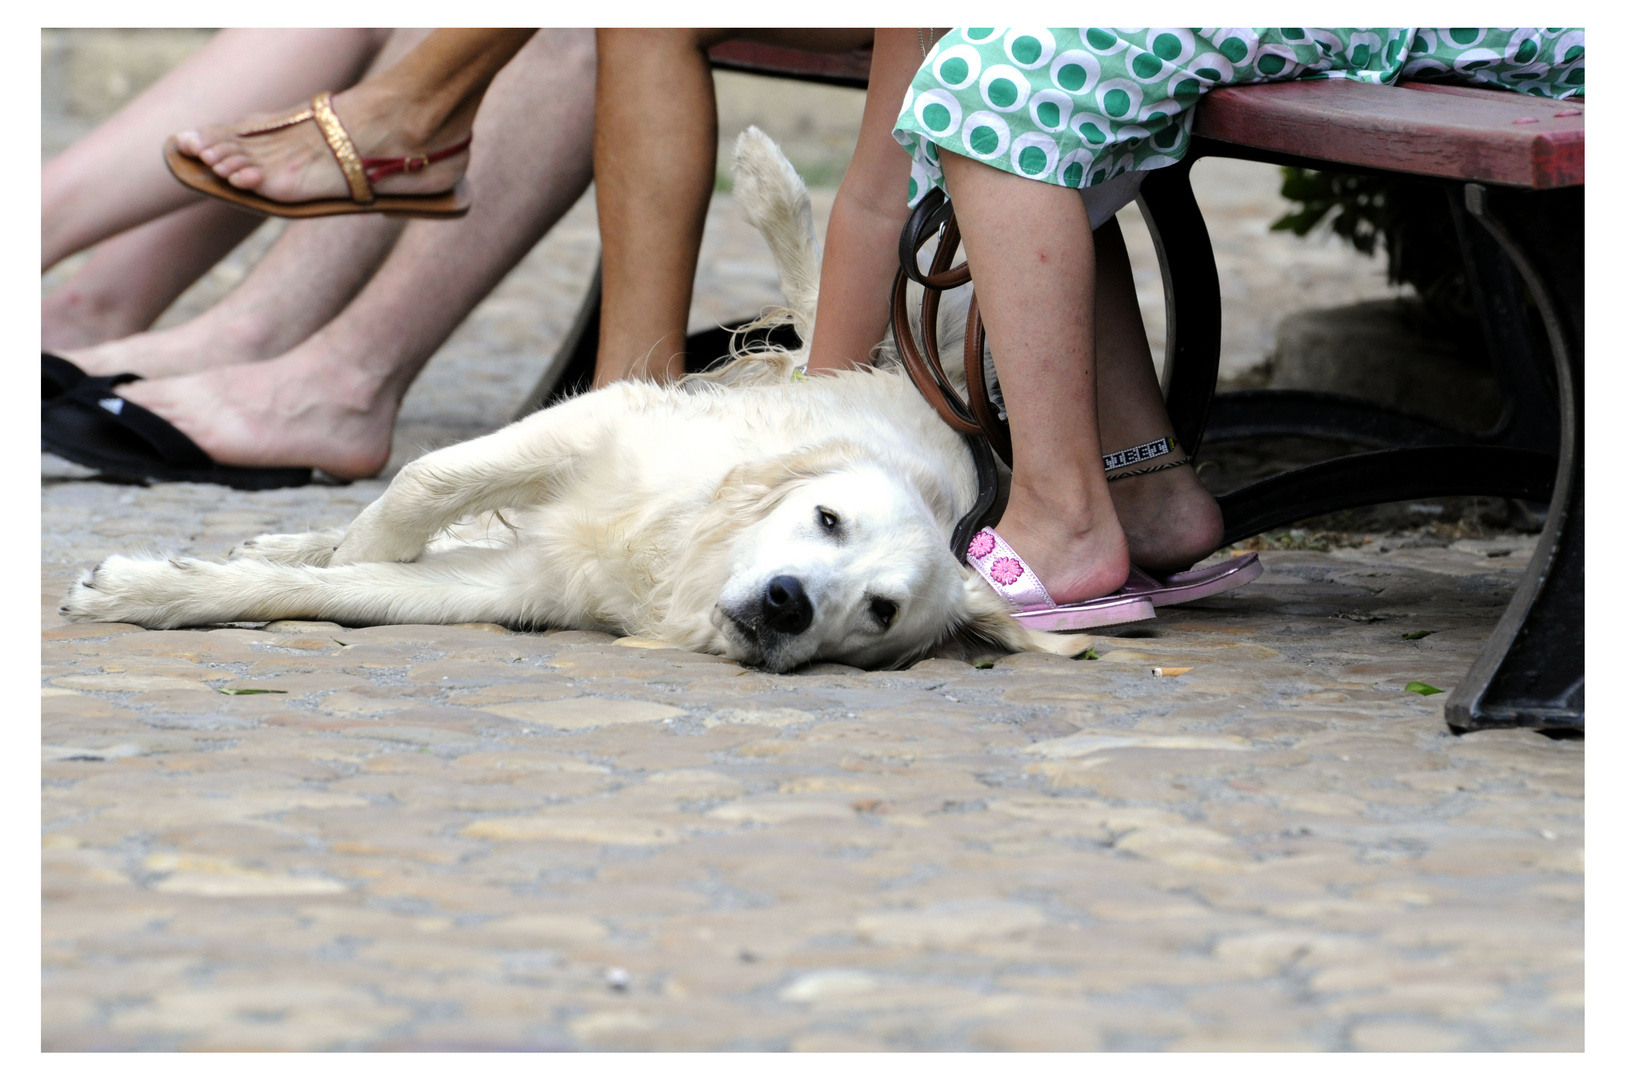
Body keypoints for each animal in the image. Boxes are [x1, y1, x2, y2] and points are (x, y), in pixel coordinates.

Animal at [63, 130, 1086, 670]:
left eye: (879, 612)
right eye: (827, 519)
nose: (790, 604)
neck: (674, 553)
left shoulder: (521, 586)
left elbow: (347, 587)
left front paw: (158, 589)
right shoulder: (595, 420)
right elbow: (420, 487)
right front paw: (336, 545)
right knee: (813, 307)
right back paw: (767, 180)